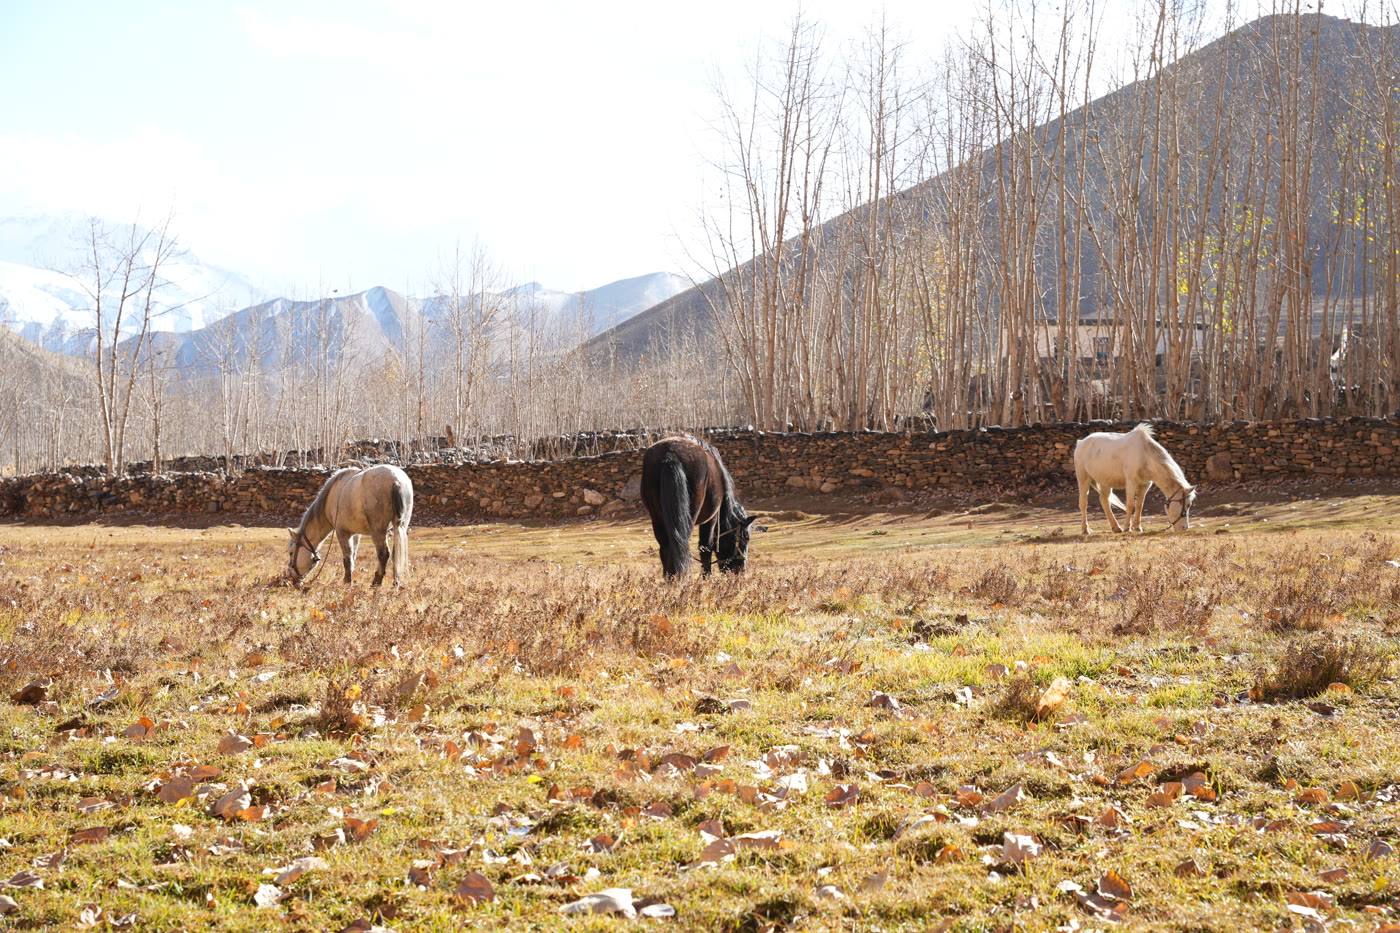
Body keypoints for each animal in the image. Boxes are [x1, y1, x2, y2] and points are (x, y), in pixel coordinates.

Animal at [640, 435, 756, 578]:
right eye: (745, 538)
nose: (740, 571)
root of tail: (669, 454)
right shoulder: (711, 519)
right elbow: (706, 547)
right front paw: (707, 577)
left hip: (657, 518)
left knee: (667, 548)